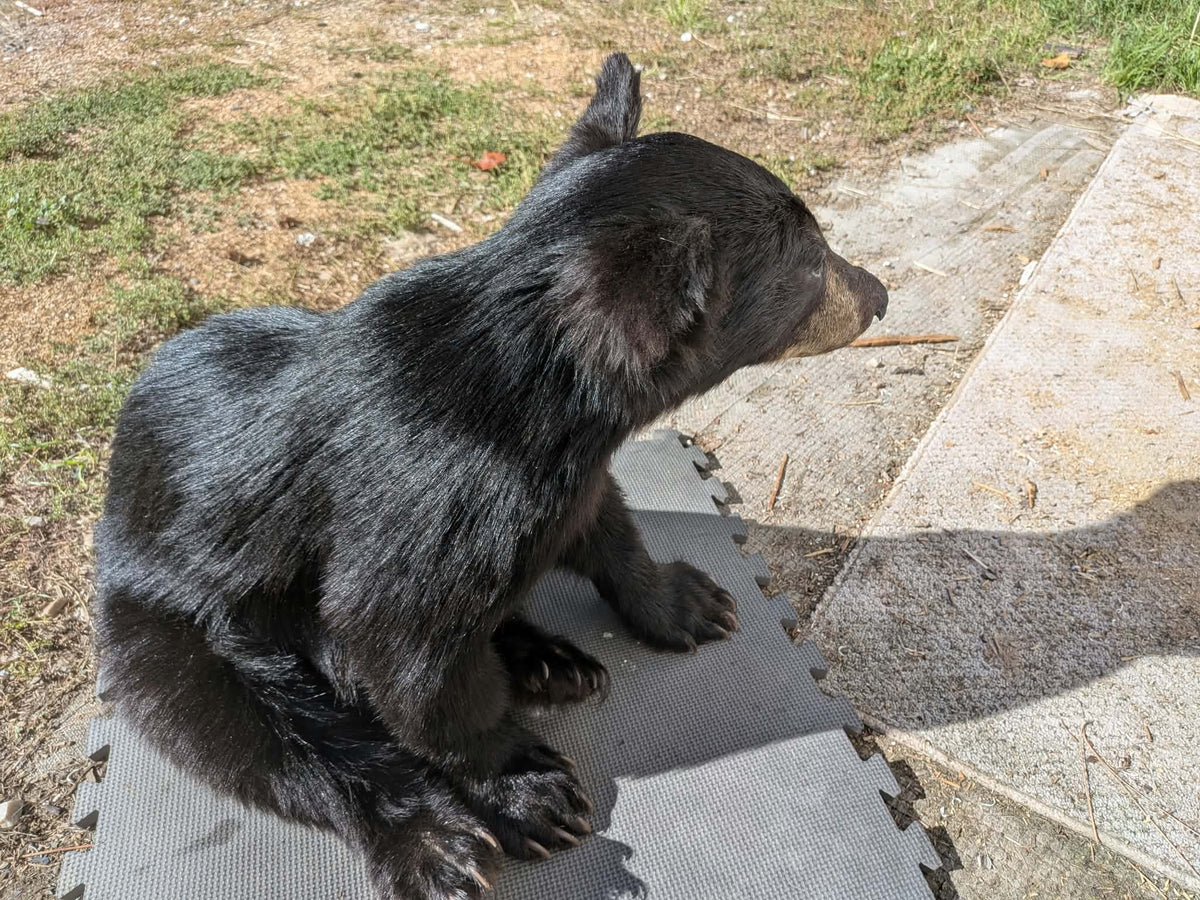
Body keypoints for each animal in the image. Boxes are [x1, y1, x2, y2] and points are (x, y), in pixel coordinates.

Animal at [92, 52, 888, 900]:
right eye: (811, 265)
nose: (879, 294)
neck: (548, 402)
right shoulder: (422, 503)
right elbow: (407, 660)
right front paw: (527, 791)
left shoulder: (563, 478)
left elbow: (603, 524)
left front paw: (689, 600)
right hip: (168, 629)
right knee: (271, 732)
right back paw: (435, 839)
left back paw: (547, 660)